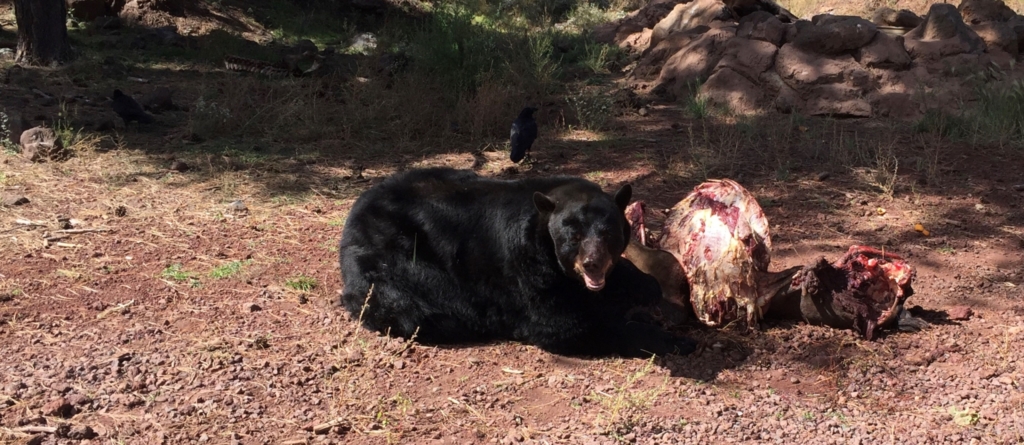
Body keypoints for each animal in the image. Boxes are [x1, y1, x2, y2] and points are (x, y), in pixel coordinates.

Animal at [338, 167, 697, 358]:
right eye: (573, 236)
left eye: (608, 231)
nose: (592, 264)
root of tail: (353, 214)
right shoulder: (525, 267)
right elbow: (564, 324)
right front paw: (673, 339)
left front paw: (644, 288)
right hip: (398, 259)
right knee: (410, 308)